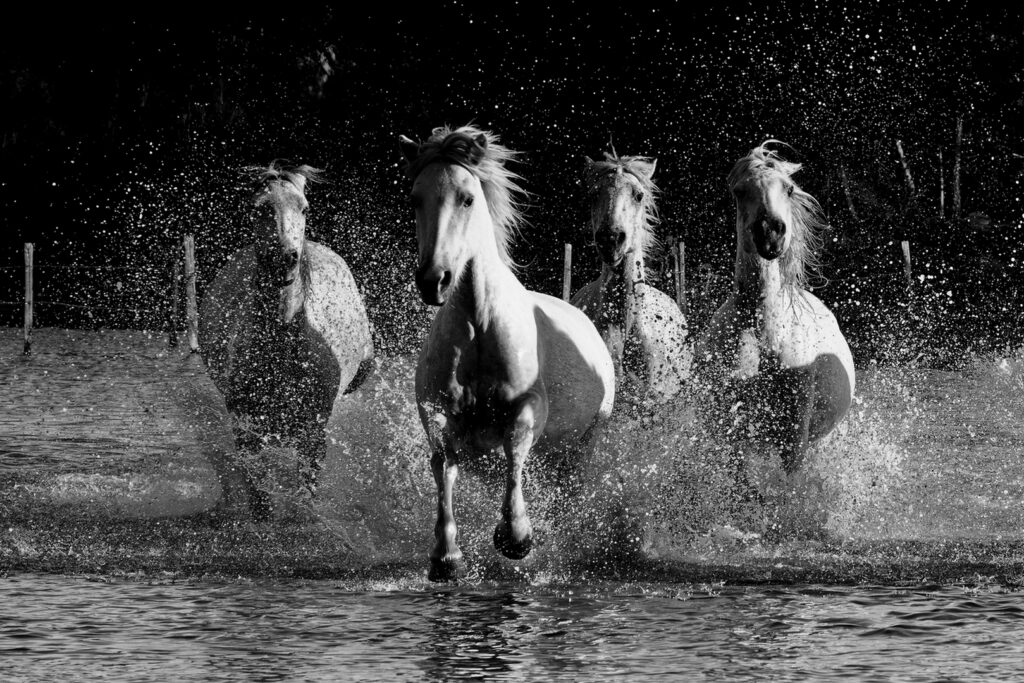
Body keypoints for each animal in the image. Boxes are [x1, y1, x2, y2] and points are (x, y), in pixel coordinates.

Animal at [199, 161, 374, 520]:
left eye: (303, 208)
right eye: (259, 208)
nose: (286, 258)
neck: (283, 349)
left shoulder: (314, 427)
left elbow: (306, 490)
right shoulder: (246, 425)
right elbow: (258, 491)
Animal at [398, 125, 615, 581]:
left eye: (467, 198)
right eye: (415, 198)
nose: (433, 280)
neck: (479, 326)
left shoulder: (528, 406)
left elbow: (515, 449)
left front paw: (516, 537)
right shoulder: (438, 412)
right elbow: (443, 463)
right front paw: (446, 556)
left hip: (583, 445)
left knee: (566, 491)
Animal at [692, 141, 855, 481]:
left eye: (789, 188)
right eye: (739, 191)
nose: (770, 232)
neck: (767, 336)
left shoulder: (794, 437)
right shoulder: (733, 435)